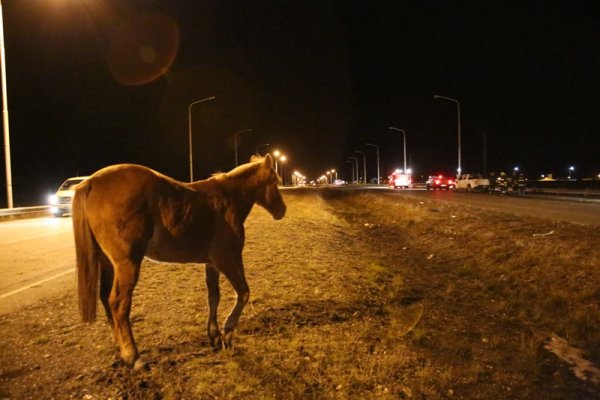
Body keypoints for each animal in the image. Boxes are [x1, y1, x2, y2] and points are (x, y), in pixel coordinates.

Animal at [70, 153, 286, 368]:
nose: (282, 210)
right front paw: (227, 333)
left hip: (108, 264)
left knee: (106, 300)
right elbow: (243, 293)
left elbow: (213, 297)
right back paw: (134, 356)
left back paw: (123, 352)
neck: (228, 199)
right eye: (274, 181)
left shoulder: (212, 263)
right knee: (118, 303)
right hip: (127, 264)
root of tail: (90, 182)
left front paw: (214, 335)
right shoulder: (228, 259)